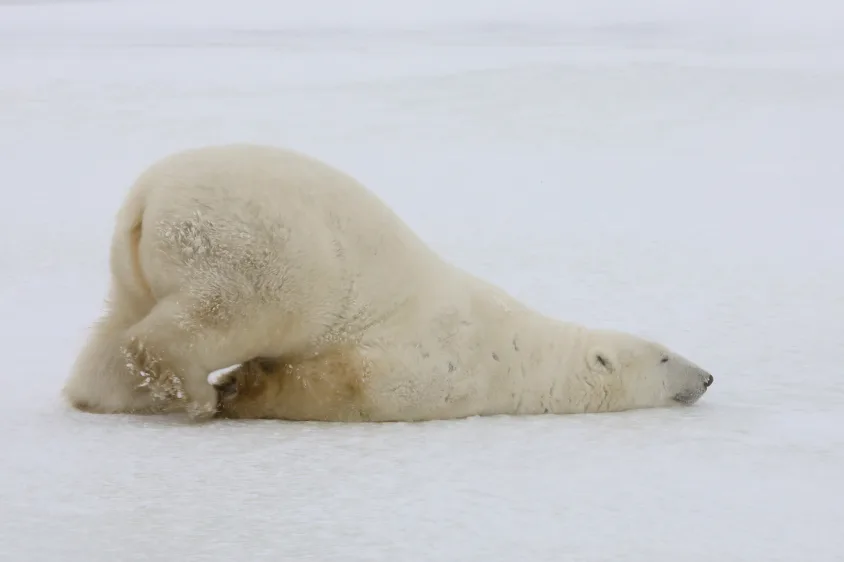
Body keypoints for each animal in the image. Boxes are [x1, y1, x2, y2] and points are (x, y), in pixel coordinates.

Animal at [63, 143, 714, 421]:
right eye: (664, 356)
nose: (707, 376)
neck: (523, 356)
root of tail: (148, 197)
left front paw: (242, 387)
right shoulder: (434, 364)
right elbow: (346, 385)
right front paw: (242, 391)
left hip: (135, 262)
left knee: (115, 326)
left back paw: (112, 395)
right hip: (252, 247)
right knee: (229, 313)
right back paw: (195, 395)